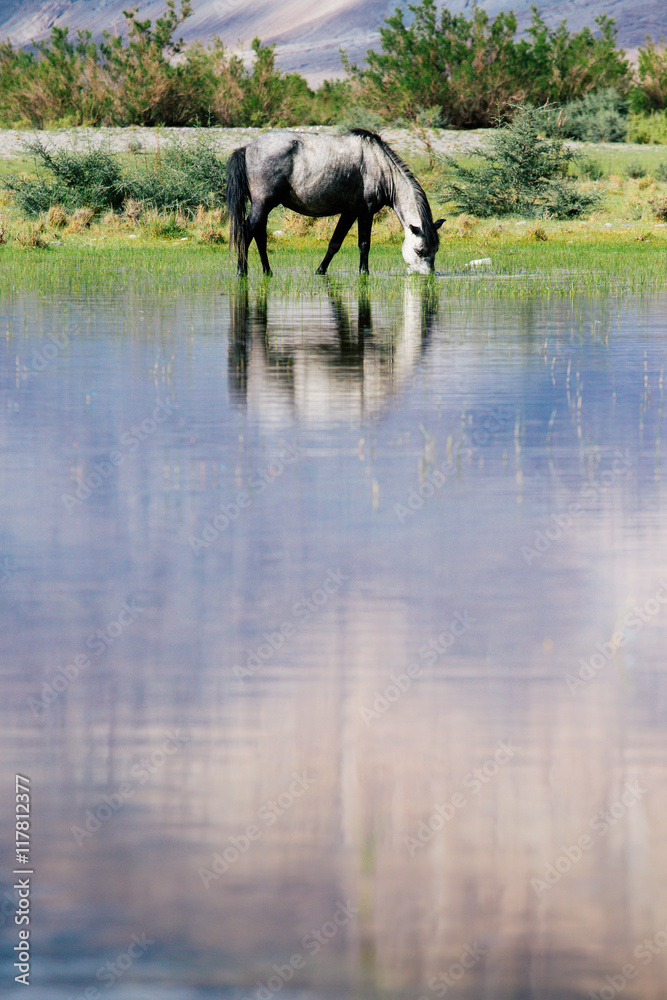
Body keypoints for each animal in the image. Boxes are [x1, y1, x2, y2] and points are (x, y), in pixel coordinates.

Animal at [227, 129, 444, 277]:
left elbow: (334, 243)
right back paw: (241, 271)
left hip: (264, 207)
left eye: (436, 250)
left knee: (259, 236)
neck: (380, 165)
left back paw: (267, 271)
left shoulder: (349, 212)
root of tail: (246, 148)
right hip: (262, 204)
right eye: (419, 250)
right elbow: (364, 244)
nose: (428, 276)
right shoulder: (366, 212)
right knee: (247, 231)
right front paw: (364, 272)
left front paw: (320, 271)